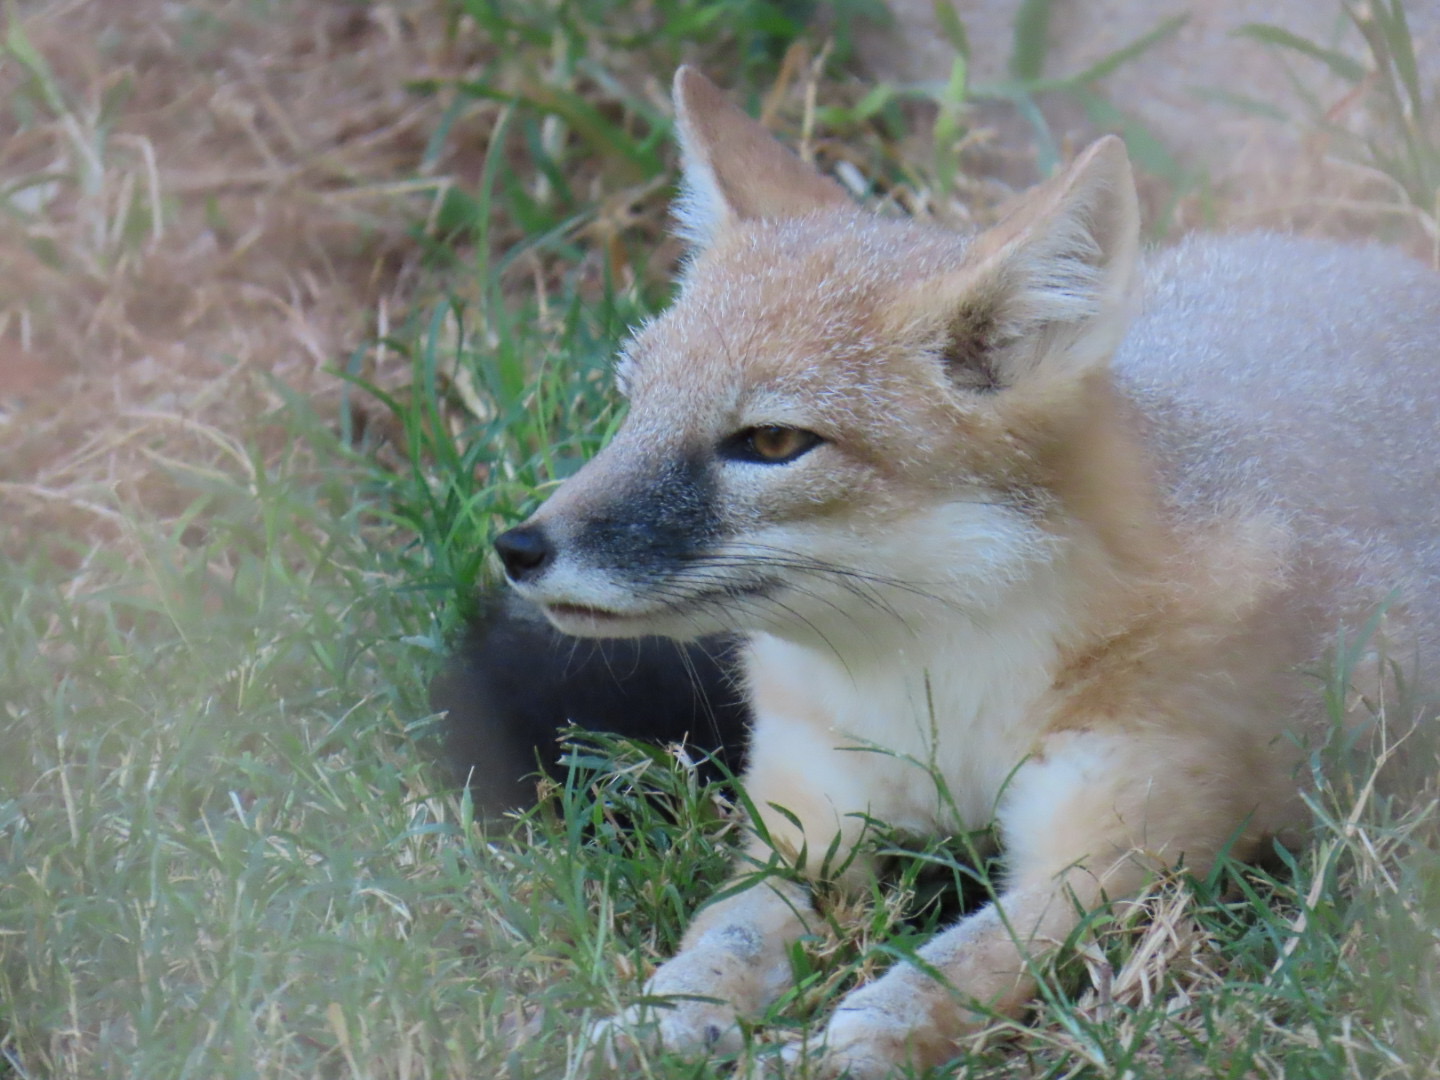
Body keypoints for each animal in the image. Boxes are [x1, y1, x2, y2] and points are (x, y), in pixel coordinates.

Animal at [491, 67, 1440, 1078]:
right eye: (632, 406)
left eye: (773, 442)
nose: (520, 548)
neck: (943, 698)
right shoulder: (805, 824)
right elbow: (727, 935)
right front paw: (668, 1016)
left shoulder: (1121, 854)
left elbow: (951, 968)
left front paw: (842, 1047)